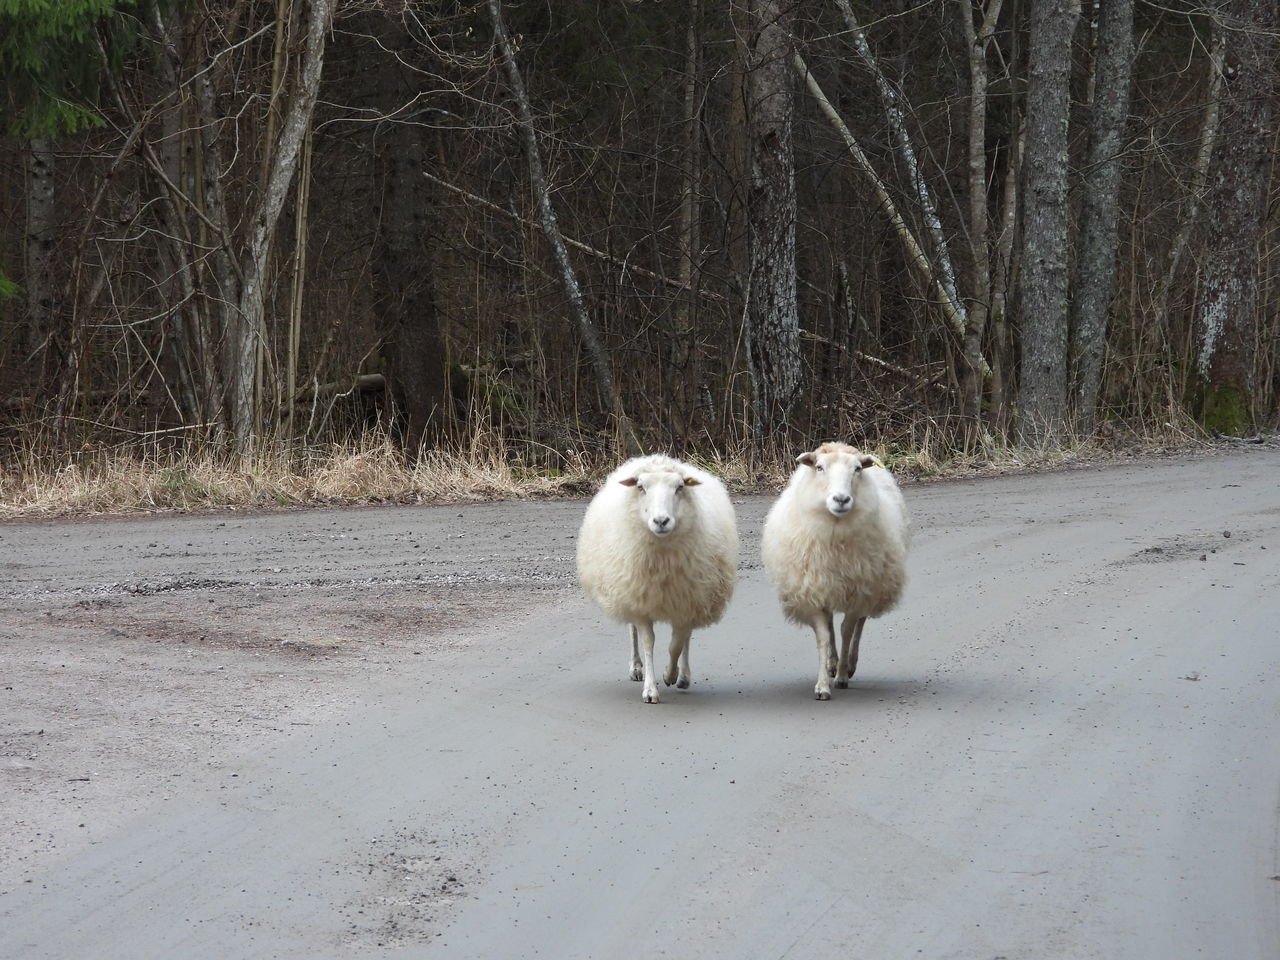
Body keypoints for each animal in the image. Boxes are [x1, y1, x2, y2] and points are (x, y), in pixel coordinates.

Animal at [576, 455, 737, 701]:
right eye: (641, 487)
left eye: (679, 487)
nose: (661, 521)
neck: (662, 563)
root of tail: (653, 457)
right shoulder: (641, 601)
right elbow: (648, 642)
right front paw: (650, 689)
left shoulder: (687, 600)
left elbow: (676, 645)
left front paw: (670, 675)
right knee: (632, 630)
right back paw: (636, 667)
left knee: (686, 637)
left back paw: (683, 676)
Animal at [757, 442, 911, 701]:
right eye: (820, 467)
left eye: (857, 469)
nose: (841, 499)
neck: (834, 534)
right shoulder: (814, 590)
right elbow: (824, 636)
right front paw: (822, 685)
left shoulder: (858, 590)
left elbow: (847, 630)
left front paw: (841, 675)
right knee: (830, 624)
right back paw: (832, 663)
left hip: (871, 584)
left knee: (860, 624)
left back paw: (848, 665)